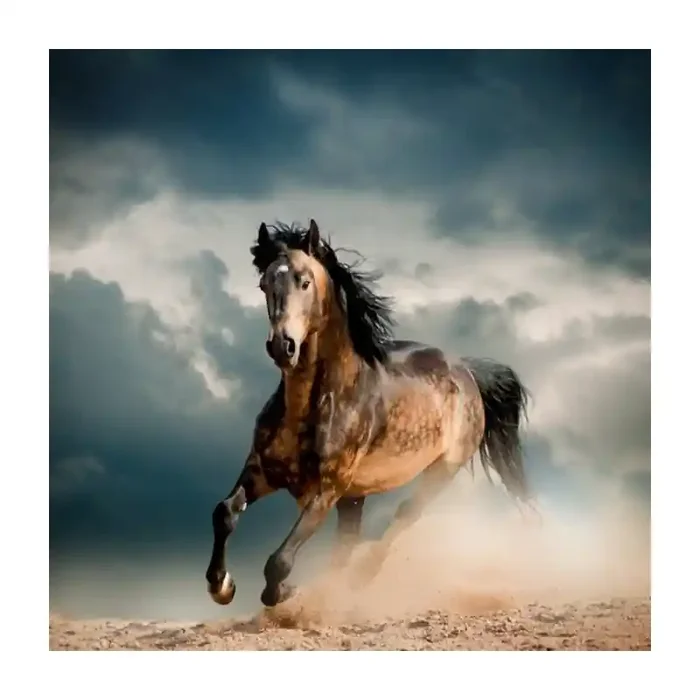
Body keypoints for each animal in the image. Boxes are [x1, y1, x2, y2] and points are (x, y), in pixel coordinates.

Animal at [205, 219, 533, 608]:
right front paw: (222, 586)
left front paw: (284, 592)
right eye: (264, 284)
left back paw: (361, 576)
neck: (313, 405)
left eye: (305, 281)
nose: (282, 346)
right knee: (346, 545)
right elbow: (225, 512)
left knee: (404, 514)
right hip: (355, 497)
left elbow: (279, 561)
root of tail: (466, 370)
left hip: (442, 470)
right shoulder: (261, 471)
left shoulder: (327, 490)